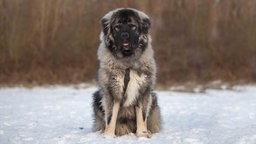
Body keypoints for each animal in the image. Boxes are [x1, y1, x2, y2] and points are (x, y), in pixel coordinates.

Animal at [91, 7, 160, 137]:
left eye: (132, 26)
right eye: (117, 27)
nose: (124, 35)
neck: (127, 62)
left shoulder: (142, 91)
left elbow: (142, 115)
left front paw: (142, 133)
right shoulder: (112, 91)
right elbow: (111, 116)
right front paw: (109, 135)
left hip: (153, 98)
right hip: (97, 97)